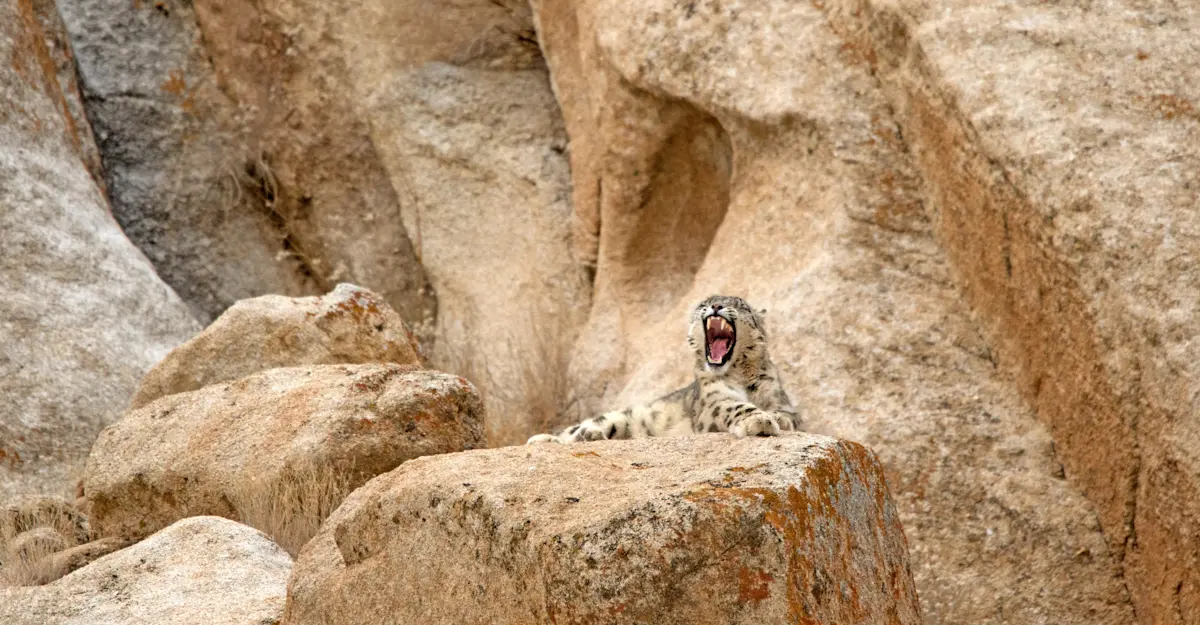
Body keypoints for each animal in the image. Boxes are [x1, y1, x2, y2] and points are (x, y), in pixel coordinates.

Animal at [527, 295, 800, 444]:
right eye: (705, 303)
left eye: (740, 305)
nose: (716, 307)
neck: (740, 374)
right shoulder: (714, 401)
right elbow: (736, 406)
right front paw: (759, 420)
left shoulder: (779, 398)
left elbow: (788, 415)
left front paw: (777, 419)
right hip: (618, 416)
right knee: (574, 429)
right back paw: (546, 439)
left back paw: (588, 436)